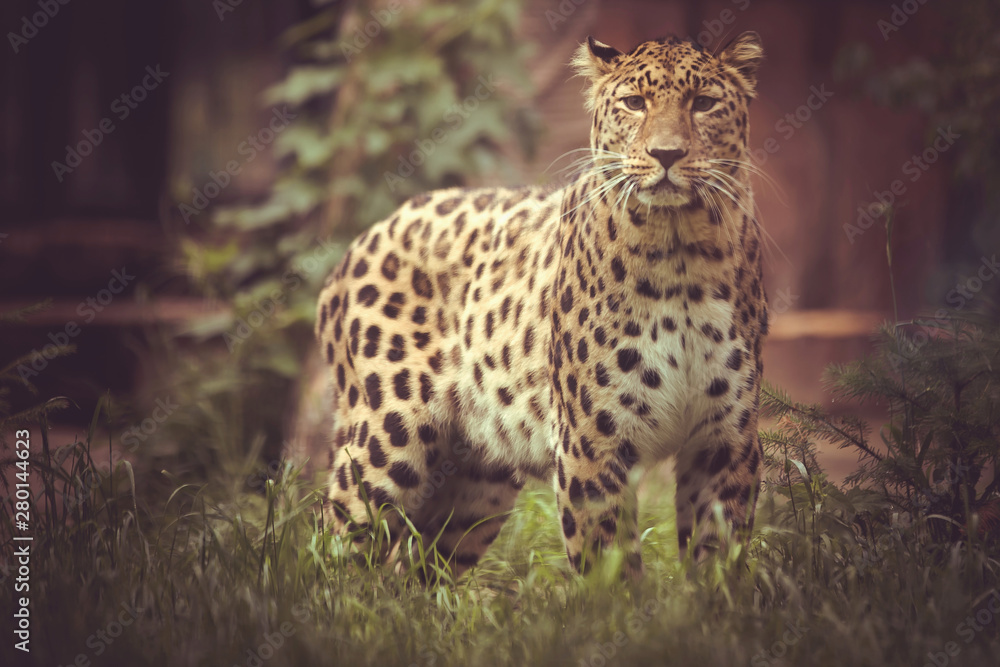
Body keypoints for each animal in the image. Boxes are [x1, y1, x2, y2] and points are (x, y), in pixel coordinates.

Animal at [315, 31, 768, 578]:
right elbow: (609, 566)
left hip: (475, 486)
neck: (681, 253)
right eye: (634, 103)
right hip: (386, 438)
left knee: (413, 568)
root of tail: (357, 244)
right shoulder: (592, 443)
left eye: (703, 103)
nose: (666, 154)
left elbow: (718, 557)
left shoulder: (725, 441)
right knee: (334, 542)